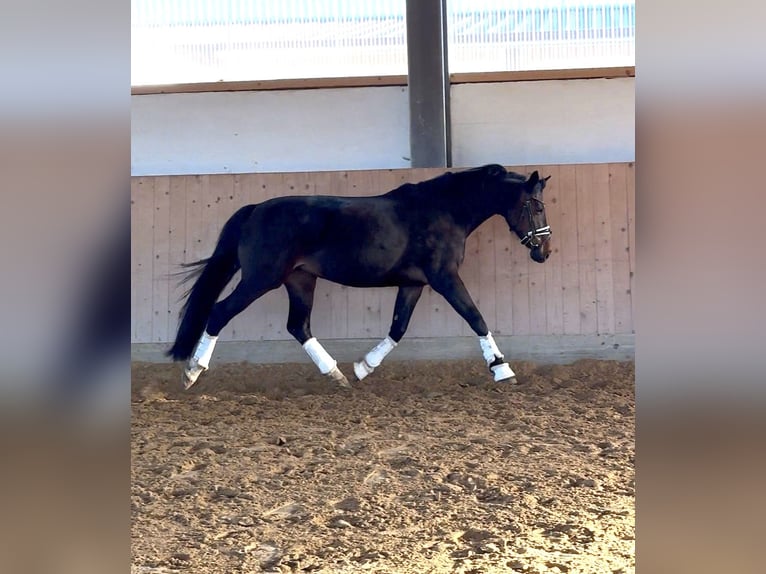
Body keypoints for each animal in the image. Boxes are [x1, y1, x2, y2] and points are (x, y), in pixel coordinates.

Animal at [168, 164, 552, 389]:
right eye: (536, 206)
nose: (544, 252)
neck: (445, 210)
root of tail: (253, 211)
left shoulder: (413, 284)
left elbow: (398, 328)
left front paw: (363, 367)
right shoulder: (444, 278)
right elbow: (476, 318)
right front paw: (502, 369)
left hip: (300, 280)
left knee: (298, 326)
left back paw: (337, 375)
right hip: (262, 279)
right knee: (220, 312)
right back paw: (192, 371)